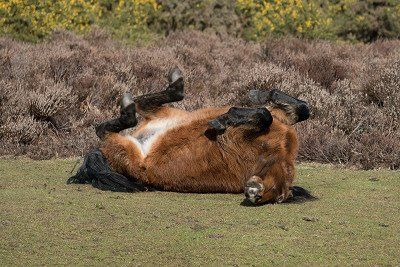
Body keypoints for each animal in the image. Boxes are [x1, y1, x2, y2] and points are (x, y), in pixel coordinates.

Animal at [70, 67, 310, 205]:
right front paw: (232, 113)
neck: (273, 153)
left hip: (126, 150)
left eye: (279, 199)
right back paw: (174, 87)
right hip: (172, 114)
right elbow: (294, 109)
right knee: (135, 108)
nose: (253, 194)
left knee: (108, 128)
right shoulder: (278, 121)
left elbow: (281, 112)